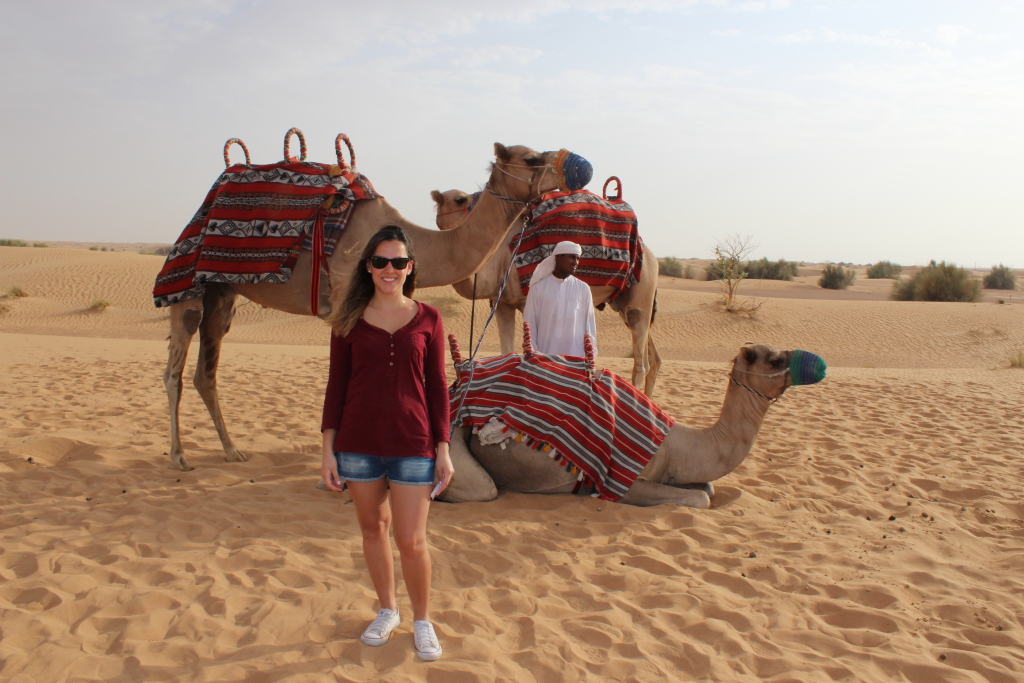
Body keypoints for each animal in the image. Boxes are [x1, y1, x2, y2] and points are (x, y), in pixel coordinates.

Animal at [167, 141, 569, 473]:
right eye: (530, 158)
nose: (571, 165)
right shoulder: (343, 300)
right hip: (189, 284)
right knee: (176, 368)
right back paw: (179, 456)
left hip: (223, 292)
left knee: (206, 373)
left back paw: (231, 451)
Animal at [425, 189, 659, 397]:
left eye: (460, 199)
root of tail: (650, 254)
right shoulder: (503, 304)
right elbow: (506, 352)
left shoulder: (527, 300)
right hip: (624, 302)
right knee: (653, 358)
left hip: (642, 289)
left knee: (641, 360)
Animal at [440, 342, 823, 507]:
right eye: (774, 360)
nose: (817, 363)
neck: (675, 445)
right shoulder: (625, 482)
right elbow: (701, 498)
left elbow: (708, 488)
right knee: (480, 488)